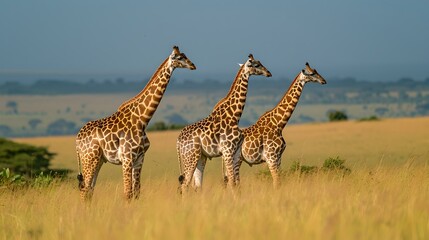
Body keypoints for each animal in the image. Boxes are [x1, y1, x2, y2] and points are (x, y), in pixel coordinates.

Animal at [75, 46, 196, 200]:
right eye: (179, 57)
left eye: (185, 55)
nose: (193, 66)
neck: (142, 120)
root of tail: (77, 139)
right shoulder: (127, 158)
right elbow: (128, 193)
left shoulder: (139, 158)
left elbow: (136, 192)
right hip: (90, 158)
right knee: (85, 190)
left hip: (98, 160)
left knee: (90, 190)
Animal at [176, 54, 270, 193]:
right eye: (256, 65)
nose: (269, 73)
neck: (234, 116)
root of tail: (178, 141)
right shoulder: (227, 151)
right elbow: (231, 181)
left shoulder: (235, 152)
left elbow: (234, 182)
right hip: (190, 156)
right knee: (184, 185)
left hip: (200, 157)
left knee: (197, 185)